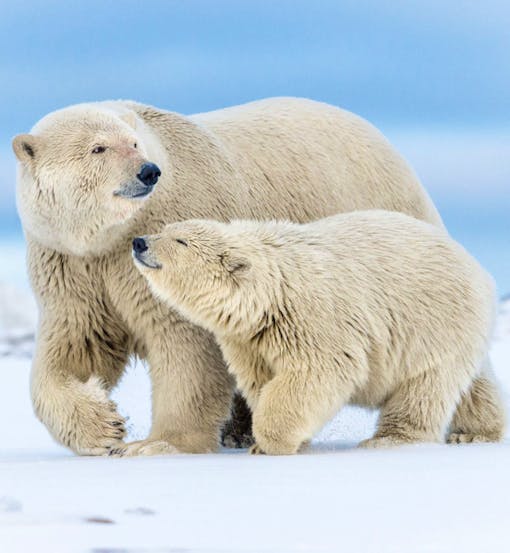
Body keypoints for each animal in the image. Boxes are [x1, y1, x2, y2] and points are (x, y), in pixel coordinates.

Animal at [12, 96, 458, 458]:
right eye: (98, 147)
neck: (110, 237)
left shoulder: (166, 237)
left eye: (134, 143)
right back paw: (240, 432)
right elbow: (76, 348)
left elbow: (186, 345)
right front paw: (103, 428)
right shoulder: (71, 267)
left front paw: (158, 444)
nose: (147, 172)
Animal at [132, 213, 506, 454]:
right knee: (473, 386)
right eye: (166, 228)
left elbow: (316, 373)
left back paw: (389, 439)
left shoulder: (314, 315)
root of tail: (481, 271)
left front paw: (271, 442)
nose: (139, 242)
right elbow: (261, 380)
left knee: (424, 386)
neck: (272, 291)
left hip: (433, 322)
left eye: (180, 241)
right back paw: (474, 433)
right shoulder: (249, 339)